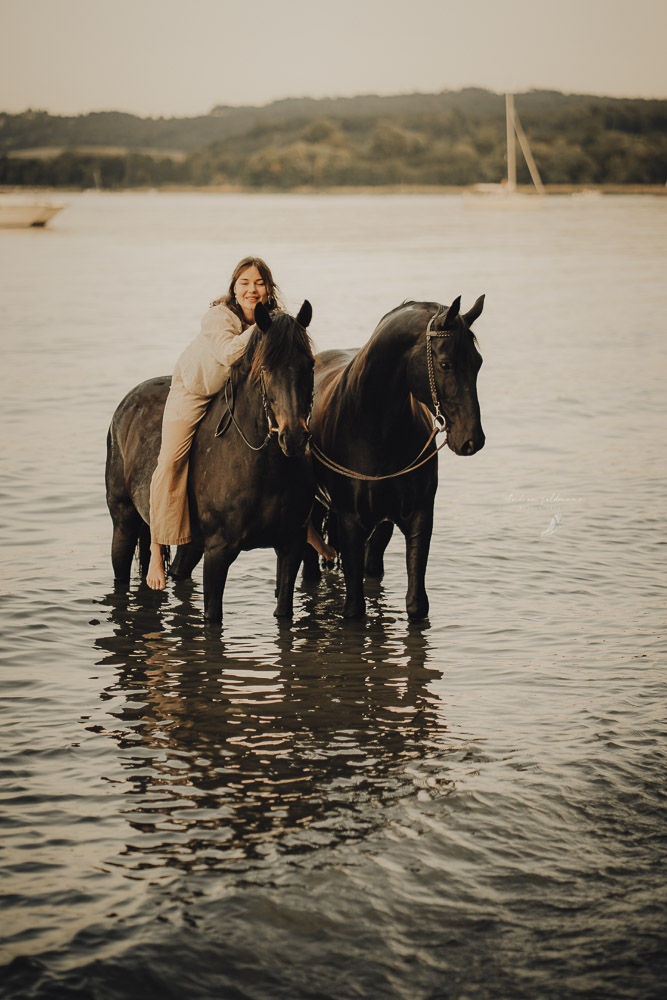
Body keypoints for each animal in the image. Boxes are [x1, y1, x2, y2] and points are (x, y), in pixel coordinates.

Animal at [105, 301, 315, 622]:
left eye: (310, 365)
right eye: (265, 368)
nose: (292, 437)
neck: (264, 469)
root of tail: (125, 407)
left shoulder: (291, 546)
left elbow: (284, 612)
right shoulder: (218, 552)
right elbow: (213, 616)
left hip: (191, 542)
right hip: (124, 521)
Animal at [304, 295, 485, 621]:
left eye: (477, 362)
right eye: (446, 364)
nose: (472, 439)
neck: (374, 428)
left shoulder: (419, 518)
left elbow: (416, 604)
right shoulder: (350, 523)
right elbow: (354, 609)